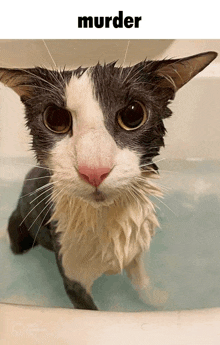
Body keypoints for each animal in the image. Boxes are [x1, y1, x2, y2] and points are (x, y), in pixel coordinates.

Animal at [0, 50, 217, 310]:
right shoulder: (73, 277)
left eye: (133, 115)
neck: (106, 218)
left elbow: (141, 279)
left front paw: (155, 300)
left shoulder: (134, 248)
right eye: (55, 118)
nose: (94, 170)